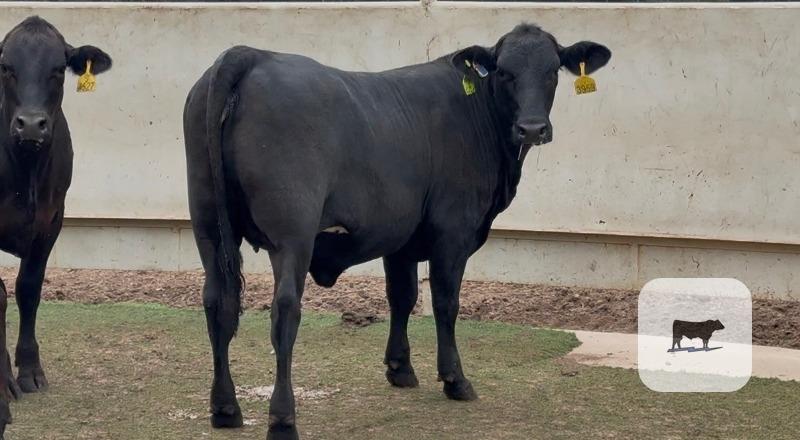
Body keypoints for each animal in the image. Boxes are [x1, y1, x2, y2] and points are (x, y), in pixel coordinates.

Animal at [0, 16, 111, 436]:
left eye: (57, 70)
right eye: (6, 67)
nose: (31, 125)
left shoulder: (52, 222)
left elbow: (28, 290)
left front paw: (30, 370)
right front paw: (5, 381)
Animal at [184, 23, 610, 439]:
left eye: (552, 70)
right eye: (504, 72)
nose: (532, 128)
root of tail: (250, 54)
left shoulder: (400, 238)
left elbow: (402, 298)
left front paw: (400, 369)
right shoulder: (453, 231)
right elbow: (445, 303)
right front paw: (455, 380)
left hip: (208, 227)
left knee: (216, 303)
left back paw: (225, 408)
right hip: (293, 233)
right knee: (284, 309)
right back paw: (283, 419)